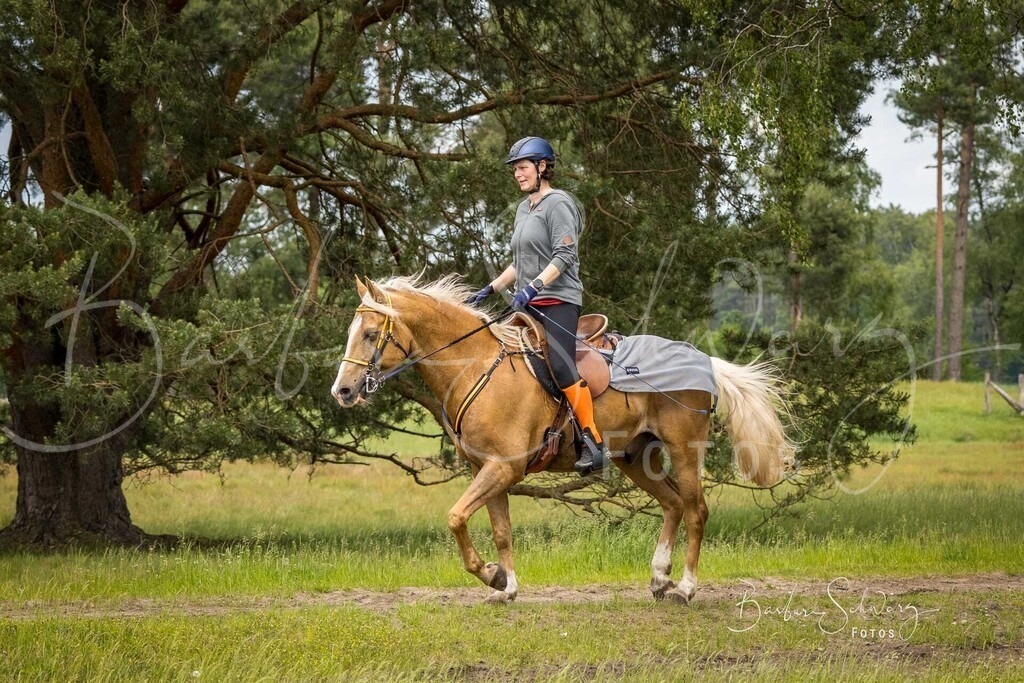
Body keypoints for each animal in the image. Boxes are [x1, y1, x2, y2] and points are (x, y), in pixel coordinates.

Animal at [331, 274, 796, 605]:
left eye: (370, 334)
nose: (343, 391)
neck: (476, 365)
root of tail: (702, 360)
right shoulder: (488, 469)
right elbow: (501, 530)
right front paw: (506, 586)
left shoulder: (503, 468)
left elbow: (456, 517)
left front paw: (492, 576)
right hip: (635, 456)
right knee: (673, 504)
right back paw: (659, 578)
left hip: (683, 449)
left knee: (696, 510)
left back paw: (684, 588)